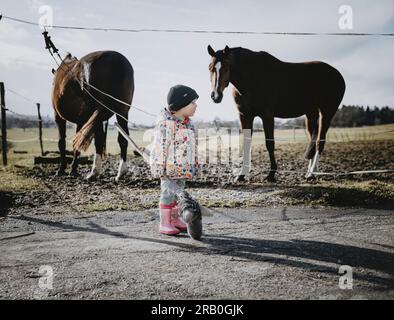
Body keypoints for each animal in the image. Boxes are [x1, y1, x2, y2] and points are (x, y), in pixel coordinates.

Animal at [52, 50, 134, 180]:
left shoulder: (58, 117)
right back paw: (121, 172)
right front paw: (73, 169)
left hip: (95, 112)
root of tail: (116, 60)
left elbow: (61, 142)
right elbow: (76, 145)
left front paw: (62, 169)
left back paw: (94, 172)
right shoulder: (80, 121)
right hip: (122, 112)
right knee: (122, 139)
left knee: (99, 140)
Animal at [208, 44, 346, 182]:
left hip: (326, 113)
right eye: (210, 68)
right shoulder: (245, 116)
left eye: (226, 67)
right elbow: (246, 143)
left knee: (319, 142)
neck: (252, 76)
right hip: (311, 115)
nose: (216, 96)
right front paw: (241, 175)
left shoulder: (267, 116)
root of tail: (338, 75)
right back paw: (309, 172)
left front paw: (271, 174)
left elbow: (270, 143)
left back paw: (311, 173)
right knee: (313, 139)